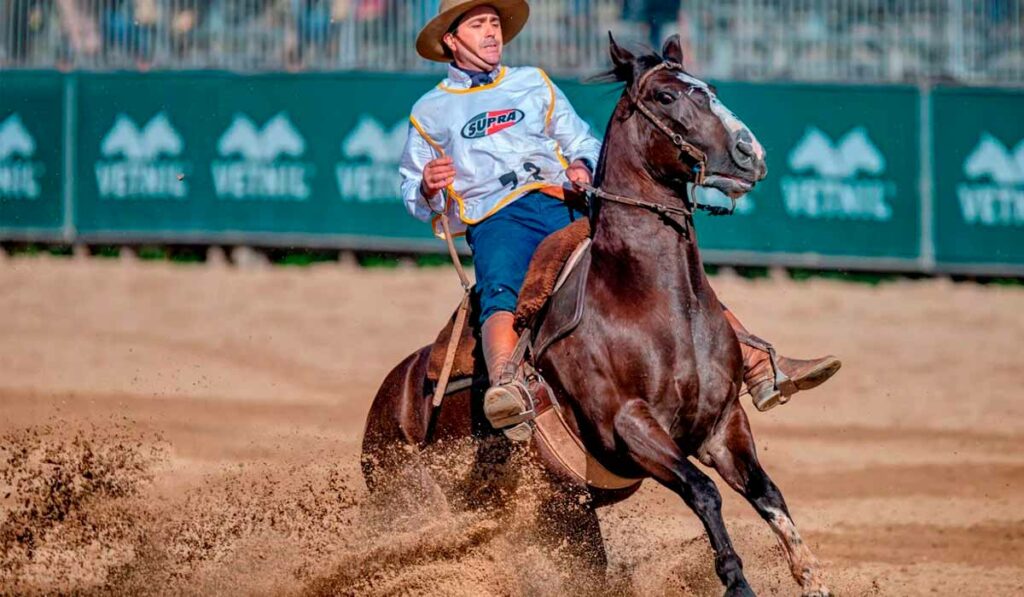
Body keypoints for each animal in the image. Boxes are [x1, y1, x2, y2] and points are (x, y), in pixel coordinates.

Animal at [362, 37, 831, 597]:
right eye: (667, 96)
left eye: (710, 89)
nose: (749, 153)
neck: (651, 303)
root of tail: (393, 393)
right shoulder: (627, 425)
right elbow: (704, 491)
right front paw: (737, 581)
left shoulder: (722, 424)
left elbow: (766, 493)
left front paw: (811, 575)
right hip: (405, 502)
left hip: (565, 514)